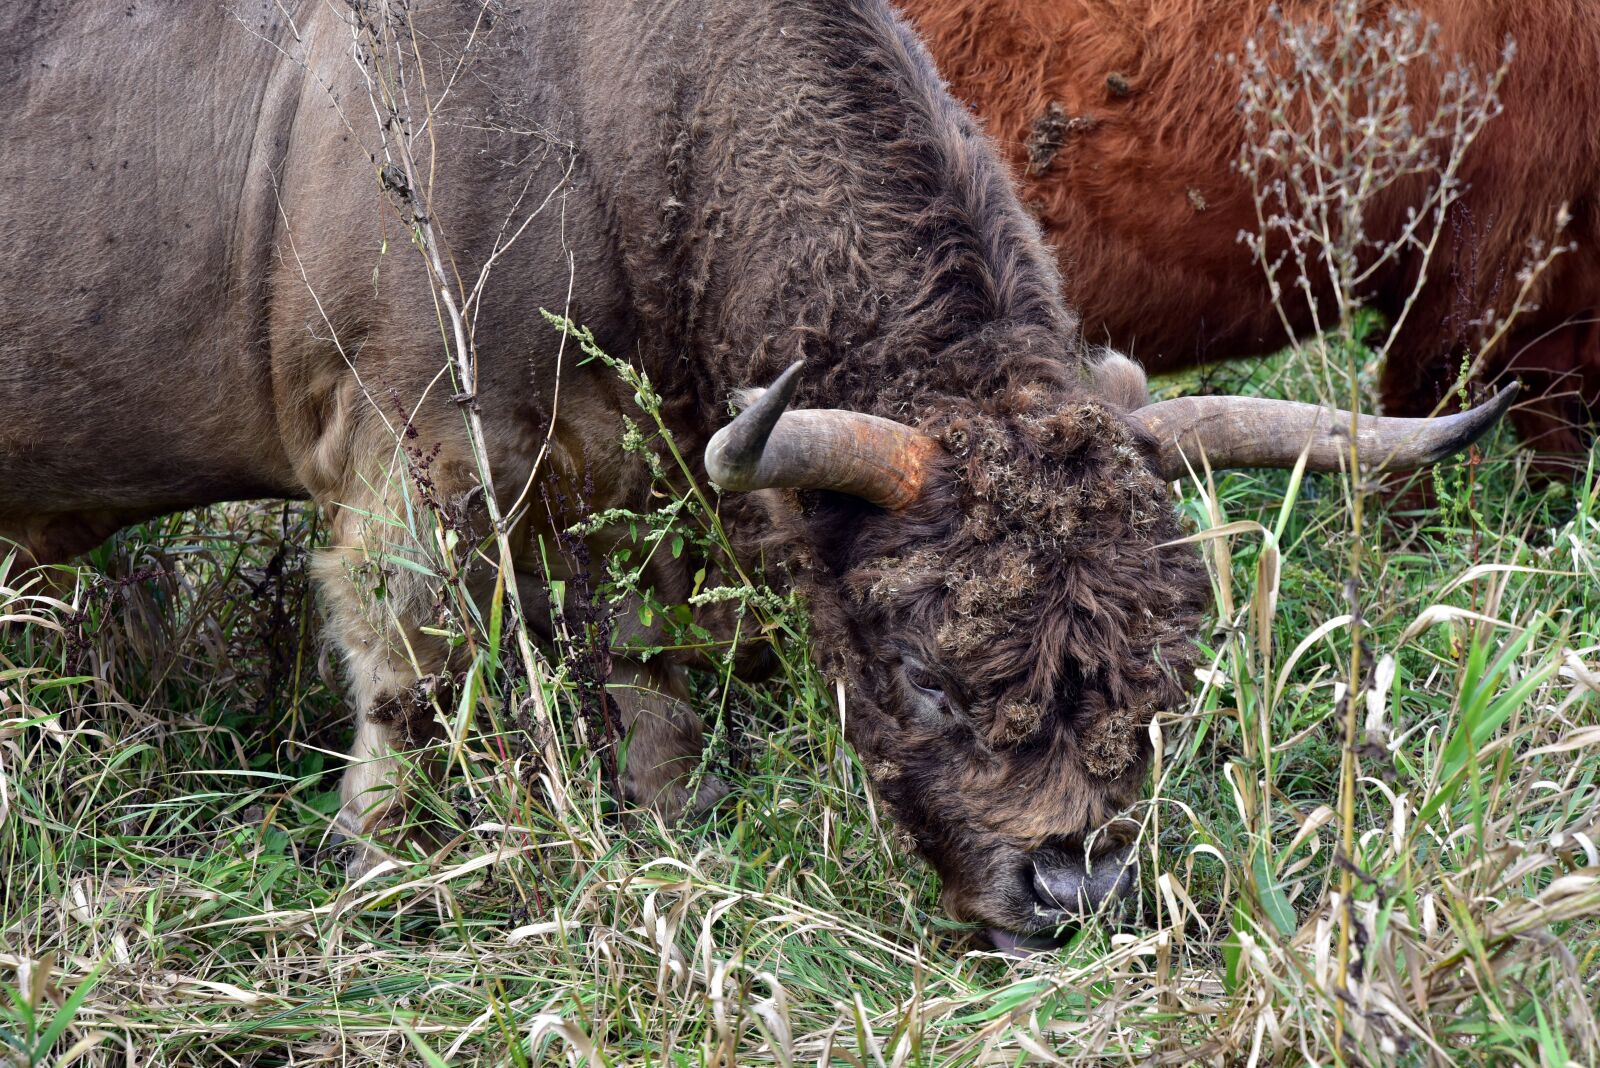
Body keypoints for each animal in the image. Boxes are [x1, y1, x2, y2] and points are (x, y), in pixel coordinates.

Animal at [0, 0, 1511, 948]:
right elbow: (413, 675)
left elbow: (657, 667)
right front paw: (383, 862)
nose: (1070, 891)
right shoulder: (412, 451)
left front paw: (677, 831)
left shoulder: (654, 474)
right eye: (927, 676)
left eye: (1165, 678)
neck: (600, 106)